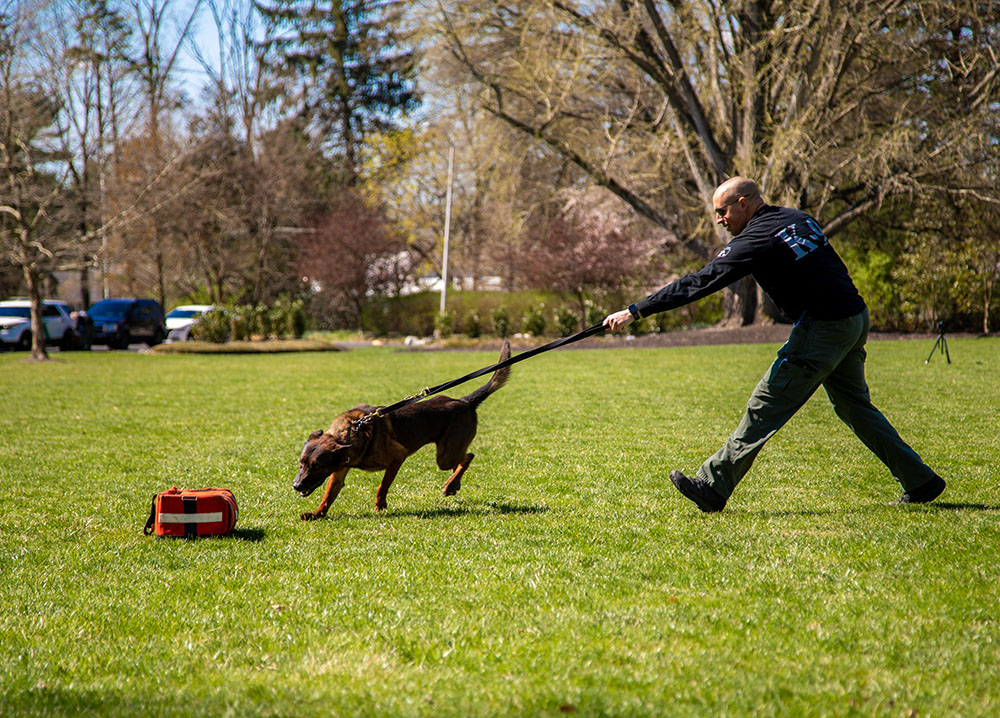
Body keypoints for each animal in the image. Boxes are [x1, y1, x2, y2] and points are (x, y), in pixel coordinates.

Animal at [290, 340, 508, 520]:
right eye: (301, 463)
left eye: (317, 466)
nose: (296, 486)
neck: (353, 431)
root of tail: (464, 401)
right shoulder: (339, 471)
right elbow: (328, 495)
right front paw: (317, 514)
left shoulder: (397, 456)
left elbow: (382, 485)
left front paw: (379, 506)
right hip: (448, 453)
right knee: (462, 460)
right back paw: (454, 484)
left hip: (444, 456)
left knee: (468, 457)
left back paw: (450, 484)